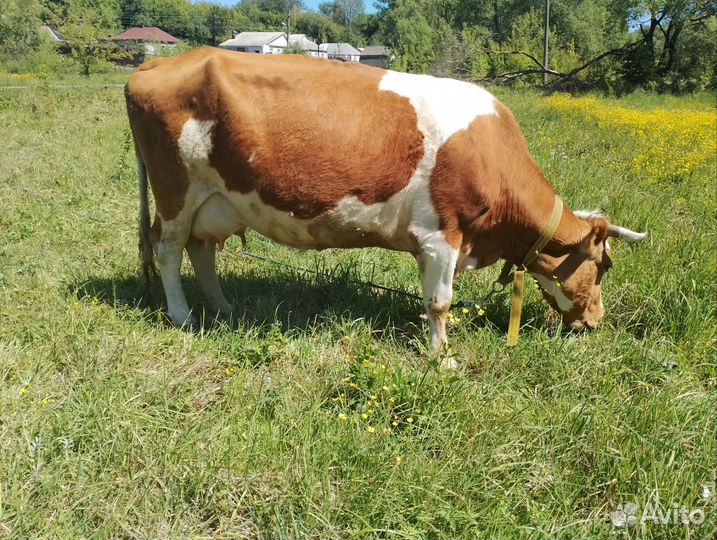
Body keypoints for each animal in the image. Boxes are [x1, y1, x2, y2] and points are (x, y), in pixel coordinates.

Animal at [125, 46, 646, 355]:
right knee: (168, 250)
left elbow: (432, 299)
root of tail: (156, 65)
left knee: (201, 250)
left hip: (213, 201)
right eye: (603, 266)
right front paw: (442, 358)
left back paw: (223, 307)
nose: (596, 320)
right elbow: (440, 302)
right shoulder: (441, 235)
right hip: (175, 192)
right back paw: (183, 314)